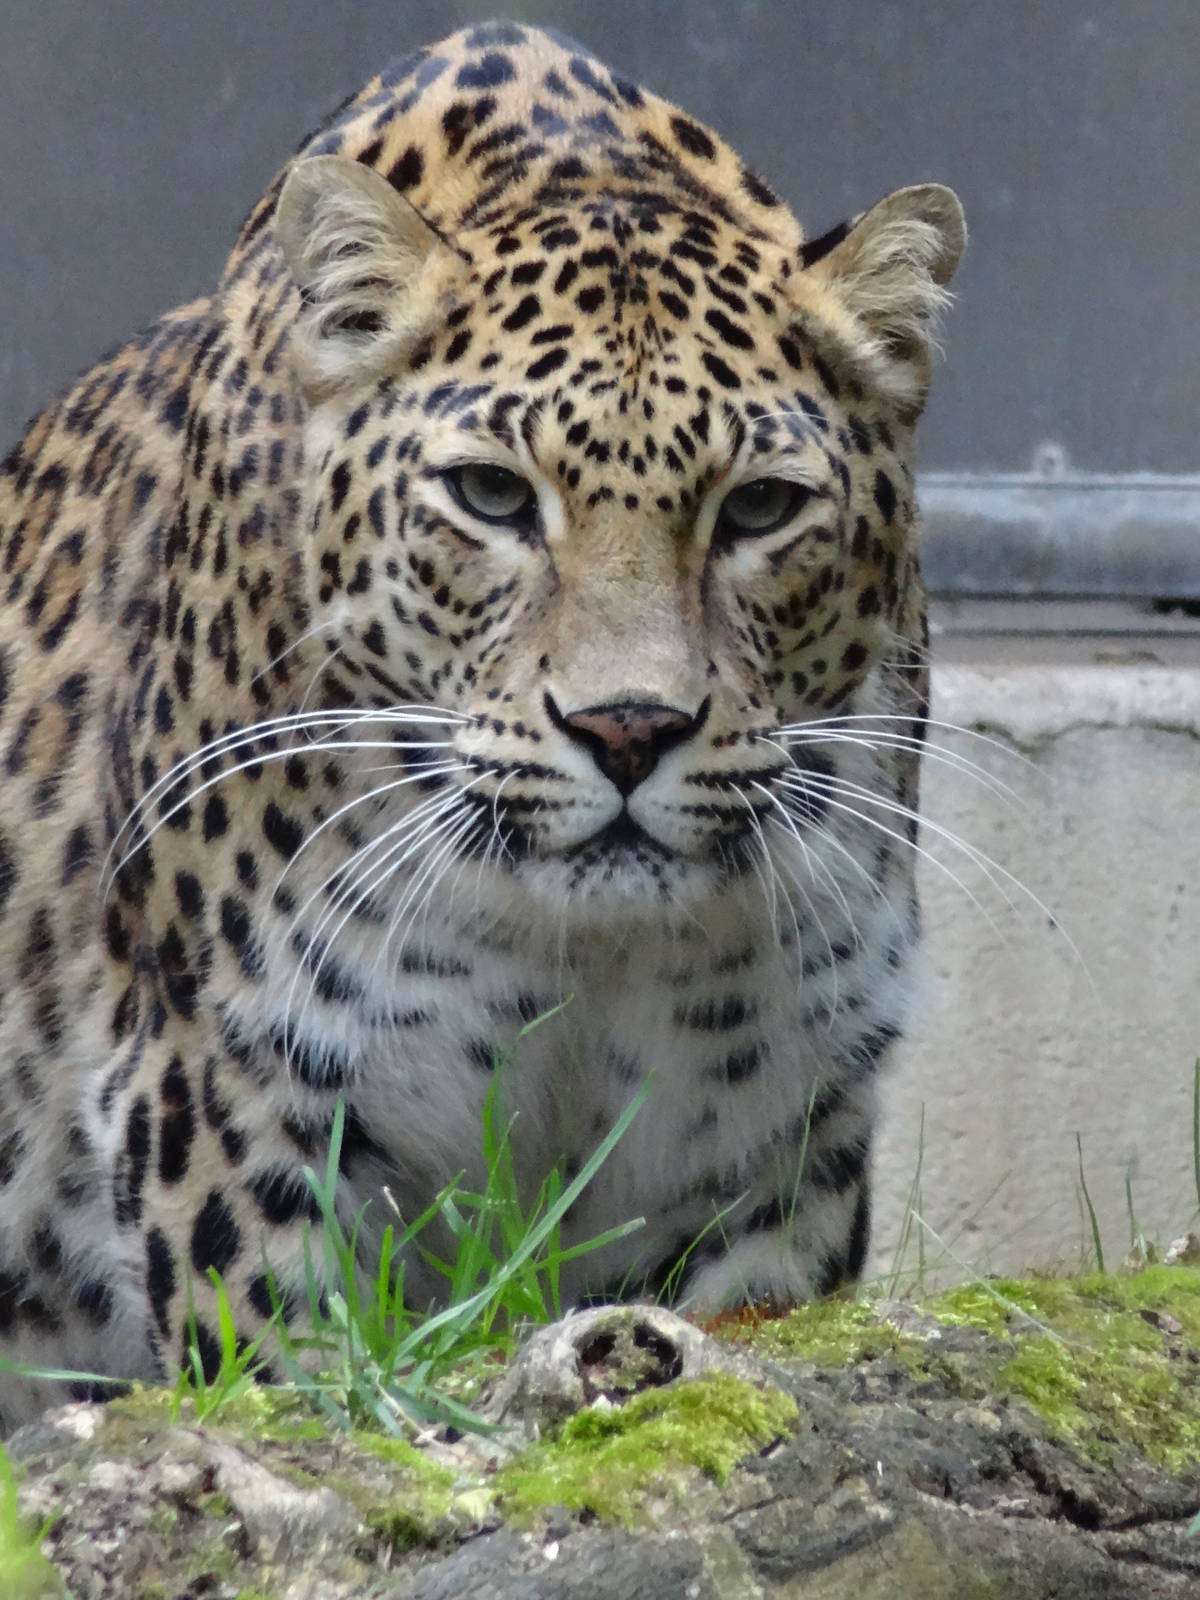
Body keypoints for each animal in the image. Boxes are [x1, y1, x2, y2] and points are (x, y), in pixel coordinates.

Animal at [0, 20, 964, 1431]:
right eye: (494, 497)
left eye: (760, 509)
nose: (630, 728)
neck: (581, 952)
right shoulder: (233, 1108)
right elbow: (291, 1374)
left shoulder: (779, 1139)